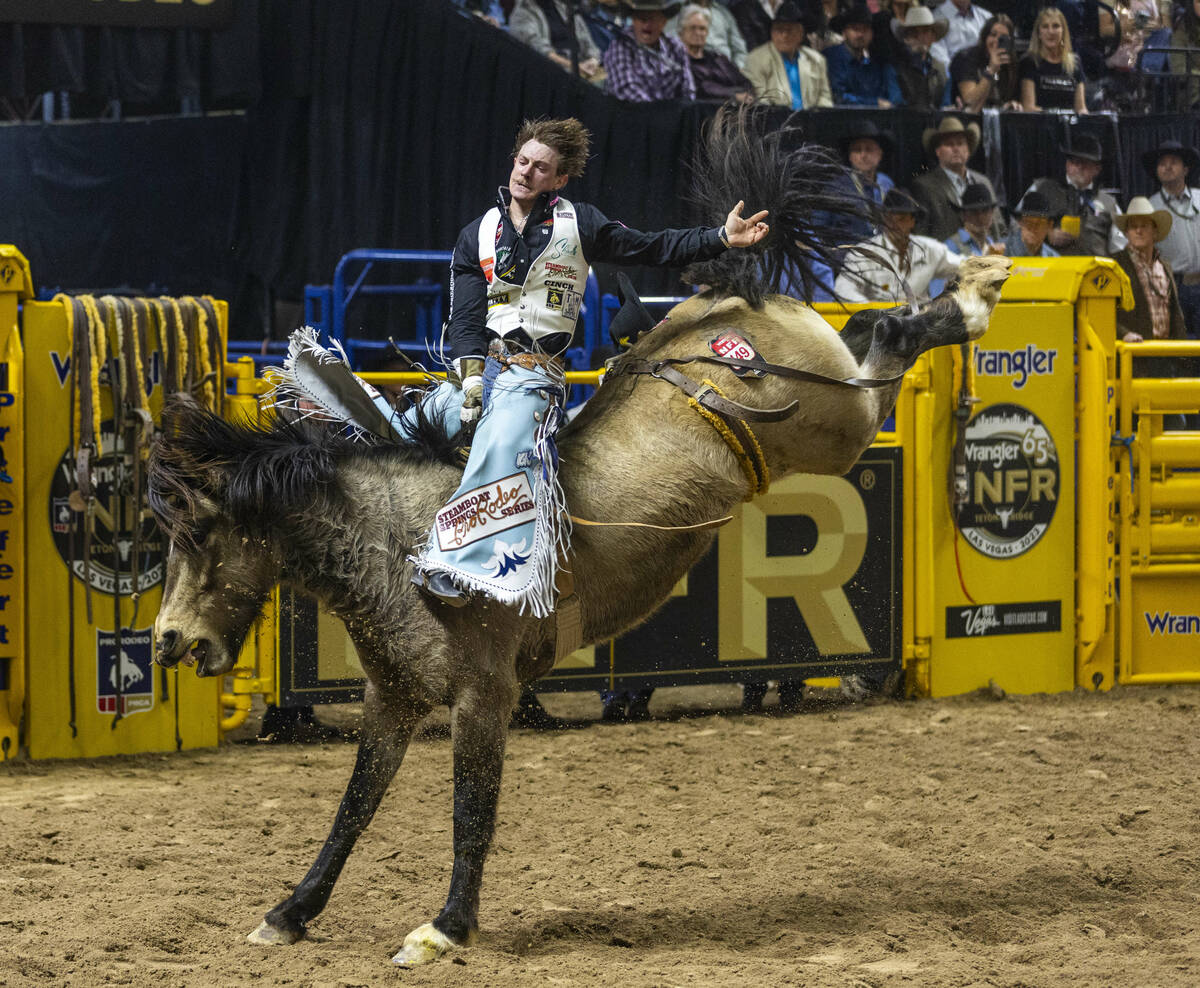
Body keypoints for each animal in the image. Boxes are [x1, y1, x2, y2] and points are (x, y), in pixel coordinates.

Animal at [150, 109, 1012, 965]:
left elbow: (471, 807)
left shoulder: (485, 694)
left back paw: (975, 291)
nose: (165, 642)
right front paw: (291, 911)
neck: (397, 541)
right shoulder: (391, 697)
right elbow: (355, 806)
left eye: (199, 537)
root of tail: (729, 301)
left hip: (837, 427)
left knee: (892, 340)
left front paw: (444, 928)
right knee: (880, 327)